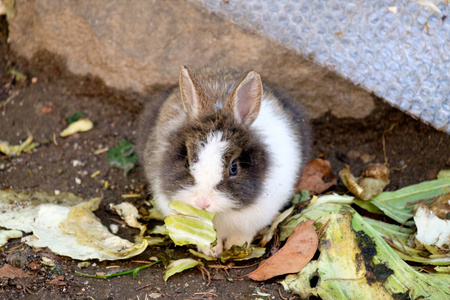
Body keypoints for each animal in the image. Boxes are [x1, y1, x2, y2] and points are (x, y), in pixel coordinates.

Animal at [138, 66, 310, 258]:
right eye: (187, 163)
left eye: (234, 168)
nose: (202, 203)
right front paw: (210, 250)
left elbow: (243, 233)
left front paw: (236, 246)